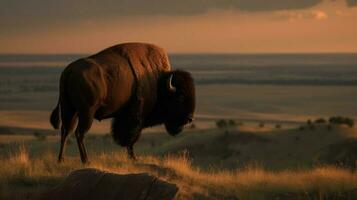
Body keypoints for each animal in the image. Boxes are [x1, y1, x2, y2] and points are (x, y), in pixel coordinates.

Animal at [49, 43, 195, 163]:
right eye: (180, 97)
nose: (189, 119)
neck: (159, 83)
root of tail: (69, 71)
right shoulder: (135, 116)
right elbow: (131, 137)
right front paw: (133, 157)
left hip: (70, 110)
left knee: (65, 131)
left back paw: (61, 159)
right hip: (86, 113)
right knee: (79, 133)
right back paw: (86, 160)